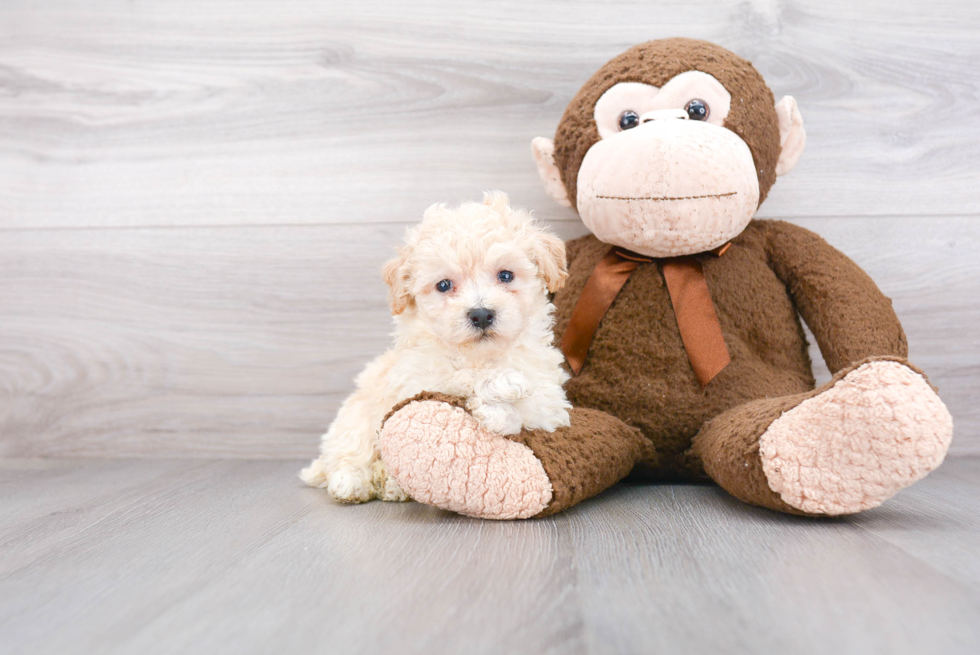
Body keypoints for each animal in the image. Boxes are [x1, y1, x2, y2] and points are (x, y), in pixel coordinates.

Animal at [302, 192, 572, 504]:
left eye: (506, 276)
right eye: (444, 285)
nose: (481, 314)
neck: (479, 357)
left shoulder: (549, 399)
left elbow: (530, 408)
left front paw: (496, 410)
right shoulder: (414, 380)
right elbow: (454, 378)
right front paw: (501, 387)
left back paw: (390, 485)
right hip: (355, 417)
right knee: (347, 453)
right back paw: (351, 483)